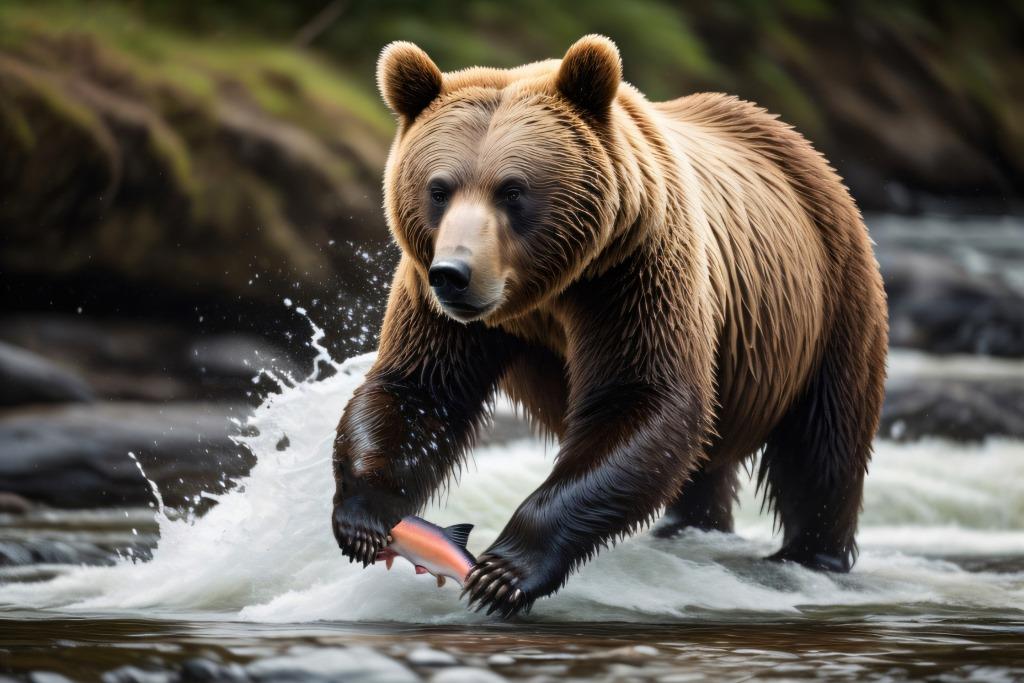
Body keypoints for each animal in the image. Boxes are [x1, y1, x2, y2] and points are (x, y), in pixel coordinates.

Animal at [331, 35, 888, 617]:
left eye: (512, 190)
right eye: (439, 189)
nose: (455, 274)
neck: (545, 291)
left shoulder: (632, 275)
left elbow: (639, 400)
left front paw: (503, 571)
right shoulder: (437, 302)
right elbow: (417, 389)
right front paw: (363, 517)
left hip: (832, 300)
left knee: (822, 446)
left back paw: (812, 558)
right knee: (705, 464)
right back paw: (691, 531)